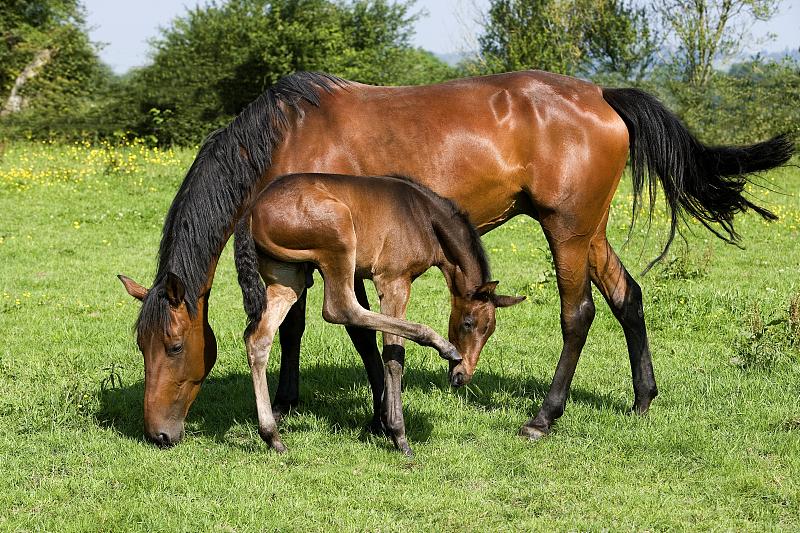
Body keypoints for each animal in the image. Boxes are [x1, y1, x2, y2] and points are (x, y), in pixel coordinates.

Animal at [120, 69, 792, 444]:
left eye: (174, 346)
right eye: (141, 345)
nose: (157, 435)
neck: (285, 137)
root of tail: (601, 94)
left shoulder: (347, 257)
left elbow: (359, 332)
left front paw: (376, 412)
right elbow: (295, 328)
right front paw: (291, 401)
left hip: (567, 232)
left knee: (578, 316)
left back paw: (543, 418)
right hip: (591, 232)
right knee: (628, 297)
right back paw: (643, 398)